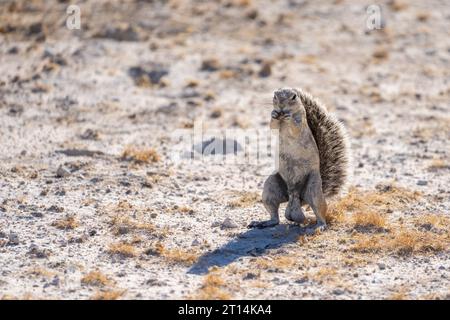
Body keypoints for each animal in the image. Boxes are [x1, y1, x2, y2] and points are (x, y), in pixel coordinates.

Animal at [250, 87, 352, 232]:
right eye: (275, 96)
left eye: (294, 97)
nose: (281, 107)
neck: (283, 118)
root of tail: (296, 196)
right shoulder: (277, 124)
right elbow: (272, 125)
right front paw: (273, 113)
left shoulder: (301, 121)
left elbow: (295, 127)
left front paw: (289, 117)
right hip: (270, 188)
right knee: (275, 217)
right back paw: (264, 222)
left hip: (314, 189)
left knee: (320, 211)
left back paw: (320, 226)